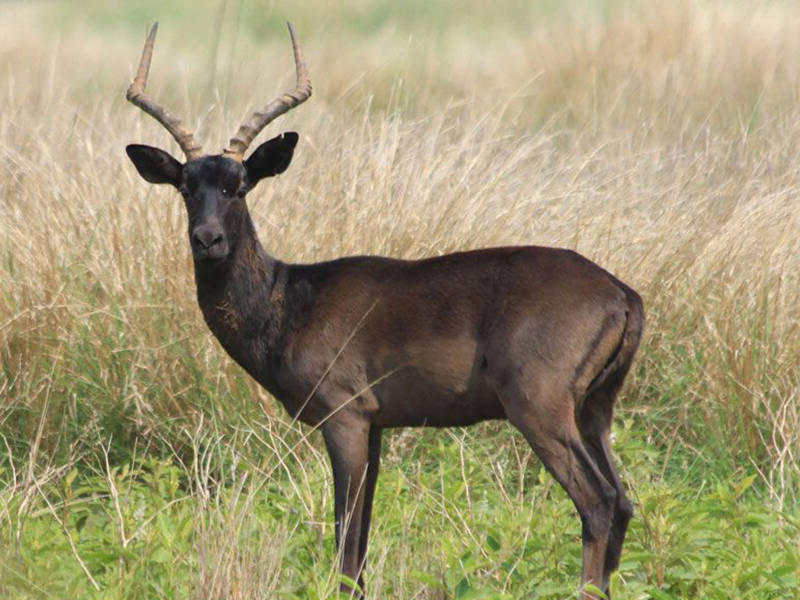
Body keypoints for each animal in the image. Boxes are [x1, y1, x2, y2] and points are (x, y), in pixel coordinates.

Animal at [124, 22, 643, 599]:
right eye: (186, 187)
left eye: (239, 187)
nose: (207, 239)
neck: (289, 300)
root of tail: (622, 294)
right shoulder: (377, 428)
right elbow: (365, 533)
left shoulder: (345, 418)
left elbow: (346, 536)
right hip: (594, 411)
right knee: (623, 503)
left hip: (540, 408)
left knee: (597, 504)